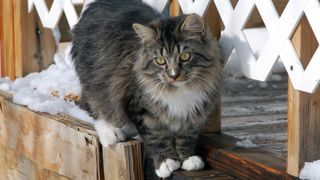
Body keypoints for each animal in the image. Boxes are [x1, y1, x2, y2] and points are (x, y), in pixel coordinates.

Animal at [72, 0, 222, 177]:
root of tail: (95, 5)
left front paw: (187, 159)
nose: (173, 75)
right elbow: (156, 137)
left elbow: (186, 136)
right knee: (97, 108)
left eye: (185, 56)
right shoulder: (141, 108)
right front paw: (166, 162)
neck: (179, 90)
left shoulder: (194, 112)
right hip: (97, 81)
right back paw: (111, 132)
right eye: (160, 60)